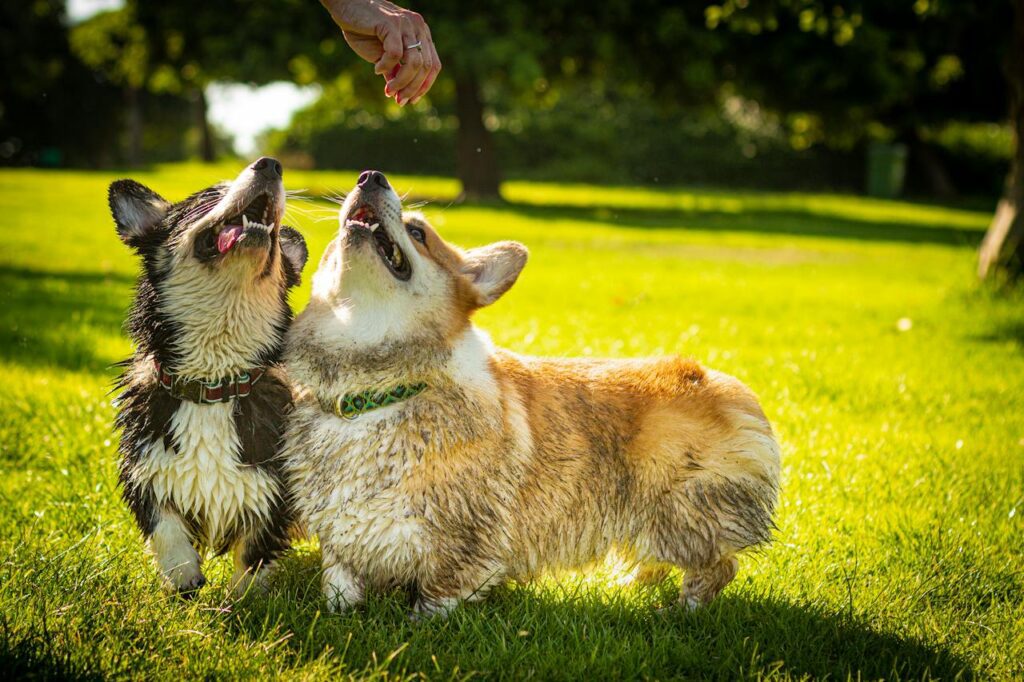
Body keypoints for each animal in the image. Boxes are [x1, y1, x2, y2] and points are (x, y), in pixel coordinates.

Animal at [110, 156, 307, 593]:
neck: (215, 383)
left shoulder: (275, 490)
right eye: (209, 195)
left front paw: (244, 598)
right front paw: (183, 579)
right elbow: (166, 530)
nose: (270, 164)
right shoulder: (145, 470)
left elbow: (253, 554)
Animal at [280, 169, 774, 614]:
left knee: (716, 567)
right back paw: (630, 586)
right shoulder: (341, 539)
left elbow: (435, 600)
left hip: (682, 517)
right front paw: (341, 614)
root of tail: (722, 383)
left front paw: (420, 626)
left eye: (418, 233)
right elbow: (339, 588)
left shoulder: (465, 545)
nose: (370, 176)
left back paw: (677, 612)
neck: (373, 389)